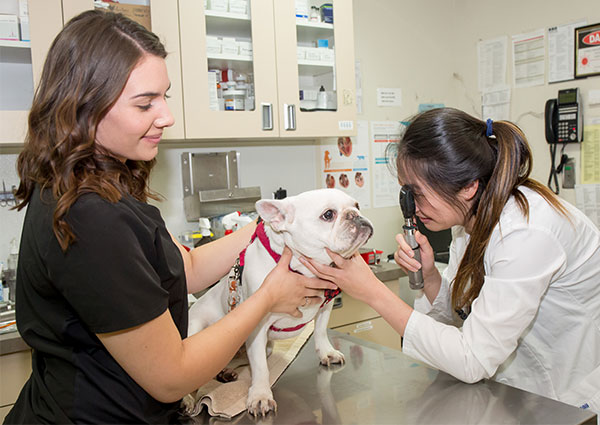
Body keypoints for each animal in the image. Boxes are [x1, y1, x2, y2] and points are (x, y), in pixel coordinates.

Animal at [184, 188, 370, 414]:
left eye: (357, 205)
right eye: (328, 214)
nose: (355, 215)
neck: (301, 268)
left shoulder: (326, 305)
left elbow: (320, 331)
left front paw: (326, 352)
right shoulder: (257, 327)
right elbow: (260, 367)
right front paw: (260, 395)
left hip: (264, 348)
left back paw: (226, 372)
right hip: (197, 332)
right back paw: (188, 399)